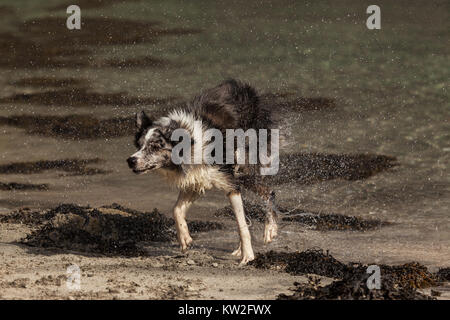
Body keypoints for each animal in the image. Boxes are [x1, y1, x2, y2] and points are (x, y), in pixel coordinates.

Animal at [126, 79, 280, 264]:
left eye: (155, 146)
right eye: (139, 145)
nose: (131, 161)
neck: (190, 144)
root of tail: (246, 89)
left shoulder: (229, 183)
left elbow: (241, 225)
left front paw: (248, 256)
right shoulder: (196, 179)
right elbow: (176, 210)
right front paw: (184, 238)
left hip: (244, 169)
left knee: (269, 192)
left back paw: (270, 230)